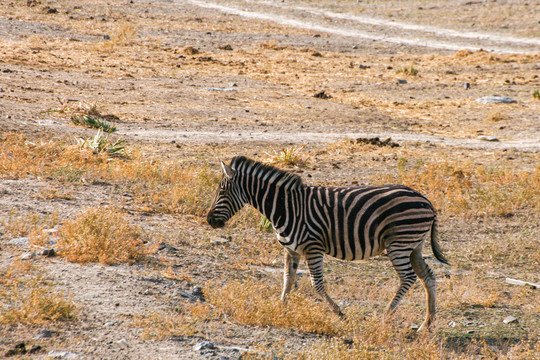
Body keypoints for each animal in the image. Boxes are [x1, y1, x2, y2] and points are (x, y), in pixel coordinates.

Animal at [209, 156, 450, 330]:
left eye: (221, 191)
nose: (209, 220)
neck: (286, 207)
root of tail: (426, 200)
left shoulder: (312, 247)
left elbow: (317, 284)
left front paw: (340, 314)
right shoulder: (291, 250)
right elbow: (287, 279)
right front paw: (281, 308)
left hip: (399, 243)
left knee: (408, 278)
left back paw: (386, 315)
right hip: (414, 245)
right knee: (428, 277)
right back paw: (427, 324)